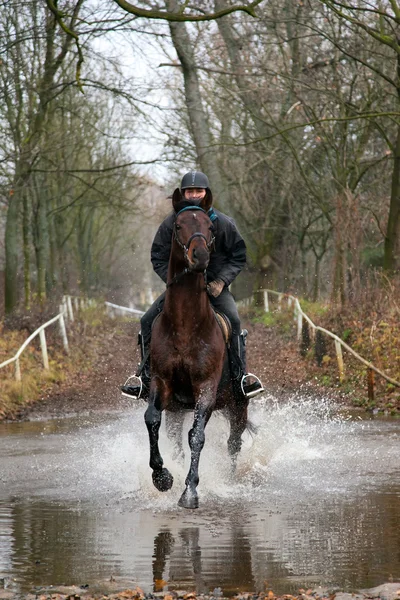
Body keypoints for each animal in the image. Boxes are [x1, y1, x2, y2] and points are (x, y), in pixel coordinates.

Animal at [144, 193, 250, 510]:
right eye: (178, 226)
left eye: (210, 227)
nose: (200, 256)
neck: (184, 324)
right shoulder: (161, 383)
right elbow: (152, 420)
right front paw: (162, 477)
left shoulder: (206, 387)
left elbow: (197, 436)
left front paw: (189, 491)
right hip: (178, 409)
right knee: (175, 438)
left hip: (238, 406)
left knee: (233, 444)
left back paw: (229, 481)